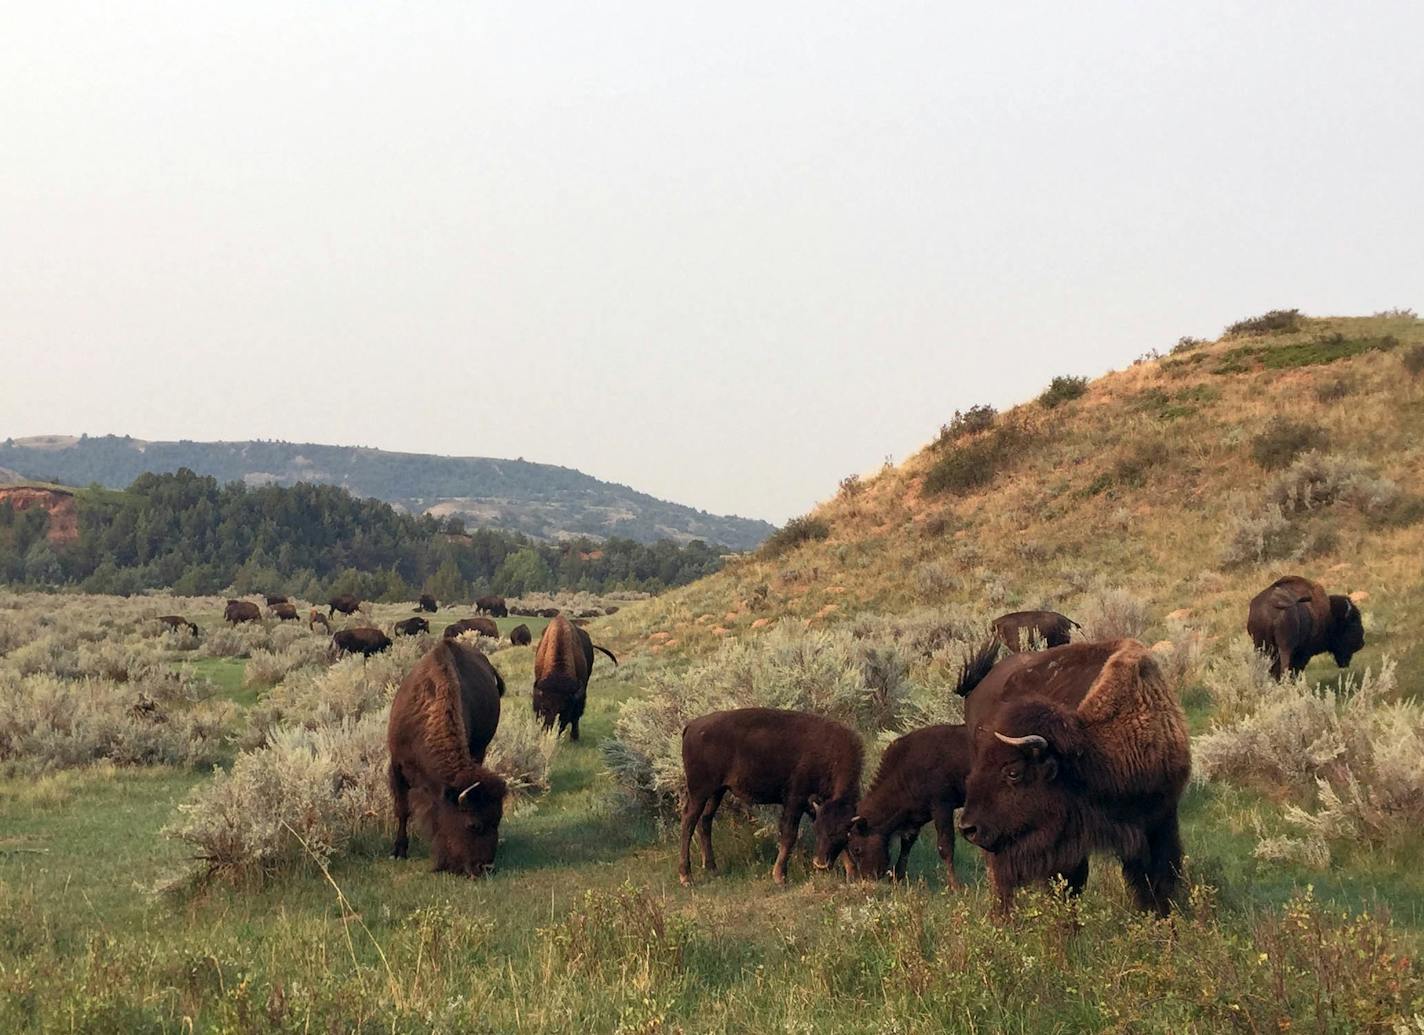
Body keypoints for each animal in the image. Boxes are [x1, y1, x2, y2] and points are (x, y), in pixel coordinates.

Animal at [387, 643, 509, 876]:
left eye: (498, 820)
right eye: (474, 825)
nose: (485, 868)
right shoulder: (396, 766)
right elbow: (402, 809)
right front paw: (398, 851)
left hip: (480, 750)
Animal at [674, 708, 860, 888]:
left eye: (842, 833)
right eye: (817, 831)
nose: (820, 864)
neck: (830, 755)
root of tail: (692, 726)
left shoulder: (815, 808)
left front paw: (852, 873)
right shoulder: (795, 801)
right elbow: (789, 835)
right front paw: (779, 877)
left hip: (717, 792)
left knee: (705, 821)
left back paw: (712, 869)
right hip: (699, 792)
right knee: (688, 822)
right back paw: (686, 877)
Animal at [837, 726, 974, 888]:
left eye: (856, 848)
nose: (867, 877)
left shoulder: (942, 806)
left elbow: (945, 846)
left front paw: (955, 885)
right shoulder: (915, 817)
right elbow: (907, 843)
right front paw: (897, 877)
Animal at [951, 640, 1196, 916]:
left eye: (1013, 772)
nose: (968, 828)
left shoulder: (1161, 818)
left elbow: (1158, 877)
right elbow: (1070, 885)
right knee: (999, 876)